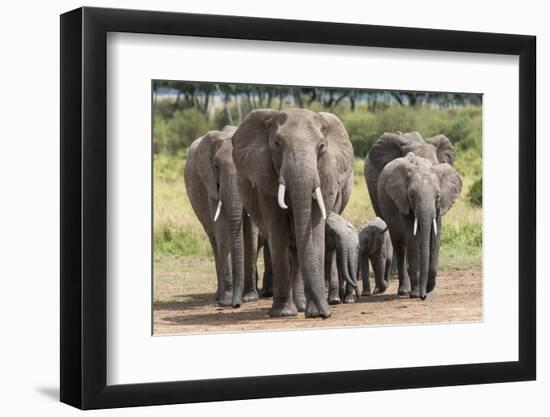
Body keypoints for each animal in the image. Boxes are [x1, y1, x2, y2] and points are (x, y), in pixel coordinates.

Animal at [184, 126, 262, 306]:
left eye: (244, 165)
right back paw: (218, 296)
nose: (236, 304)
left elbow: (251, 232)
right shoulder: (211, 184)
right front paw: (226, 301)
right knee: (214, 240)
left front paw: (250, 297)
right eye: (216, 166)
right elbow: (221, 229)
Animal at [232, 108, 354, 318]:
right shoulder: (265, 179)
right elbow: (277, 229)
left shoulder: (326, 173)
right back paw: (295, 308)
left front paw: (314, 312)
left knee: (297, 252)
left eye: (322, 146)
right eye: (277, 144)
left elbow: (315, 230)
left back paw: (302, 306)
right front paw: (283, 313)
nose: (326, 314)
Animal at [378, 153, 464, 300]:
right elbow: (412, 239)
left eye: (438, 196)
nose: (424, 296)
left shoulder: (439, 208)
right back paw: (404, 291)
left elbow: (435, 237)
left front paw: (428, 289)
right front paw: (416, 294)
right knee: (400, 245)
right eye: (412, 195)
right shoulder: (403, 202)